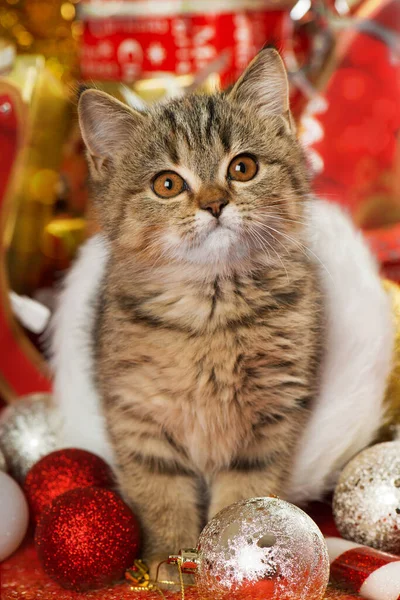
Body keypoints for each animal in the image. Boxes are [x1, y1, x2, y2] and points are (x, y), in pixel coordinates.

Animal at [78, 50, 322, 572]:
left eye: (243, 168)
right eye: (167, 184)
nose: (214, 204)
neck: (211, 311)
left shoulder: (270, 421)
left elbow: (246, 500)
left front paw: (240, 564)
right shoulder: (138, 414)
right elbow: (161, 494)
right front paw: (170, 558)